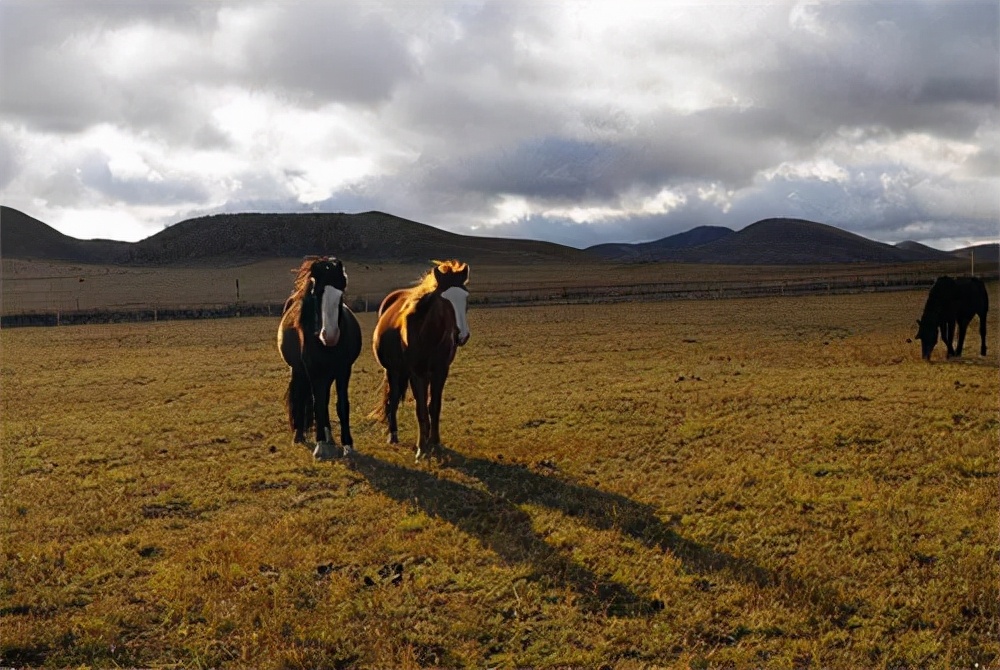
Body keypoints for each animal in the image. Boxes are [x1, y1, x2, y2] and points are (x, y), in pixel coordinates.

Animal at [278, 255, 364, 460]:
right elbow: (317, 405)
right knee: (303, 398)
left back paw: (329, 437)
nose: (330, 336)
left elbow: (341, 406)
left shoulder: (343, 371)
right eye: (316, 294)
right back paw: (299, 435)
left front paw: (347, 445)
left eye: (341, 295)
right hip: (299, 371)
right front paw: (320, 446)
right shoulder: (314, 372)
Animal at [374, 260, 470, 460]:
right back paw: (393, 435)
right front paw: (422, 449)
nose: (462, 335)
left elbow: (433, 407)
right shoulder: (416, 374)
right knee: (393, 399)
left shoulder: (440, 372)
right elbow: (421, 409)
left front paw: (435, 444)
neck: (428, 336)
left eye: (466, 298)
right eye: (444, 300)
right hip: (394, 372)